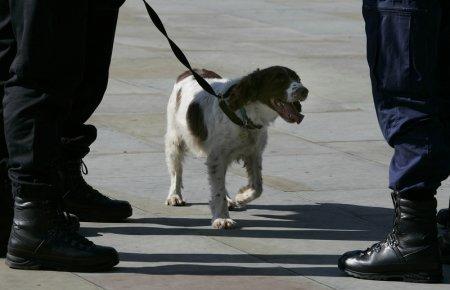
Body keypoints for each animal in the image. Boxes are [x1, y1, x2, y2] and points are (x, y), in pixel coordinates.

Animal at [165, 65, 310, 229]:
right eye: (279, 79)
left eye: (297, 79)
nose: (304, 91)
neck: (246, 118)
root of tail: (192, 70)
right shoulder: (217, 157)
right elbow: (218, 191)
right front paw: (222, 218)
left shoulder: (253, 154)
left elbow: (258, 187)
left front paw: (241, 197)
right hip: (174, 139)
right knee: (176, 171)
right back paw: (175, 195)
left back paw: (229, 200)